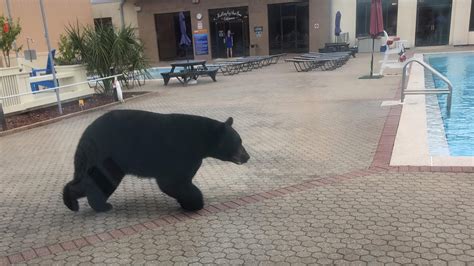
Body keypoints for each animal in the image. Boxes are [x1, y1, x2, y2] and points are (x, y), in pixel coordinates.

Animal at [63, 109, 250, 212]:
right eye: (239, 142)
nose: (247, 156)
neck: (202, 141)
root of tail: (86, 135)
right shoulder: (182, 153)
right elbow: (172, 182)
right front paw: (195, 203)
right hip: (106, 154)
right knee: (100, 179)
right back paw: (89, 204)